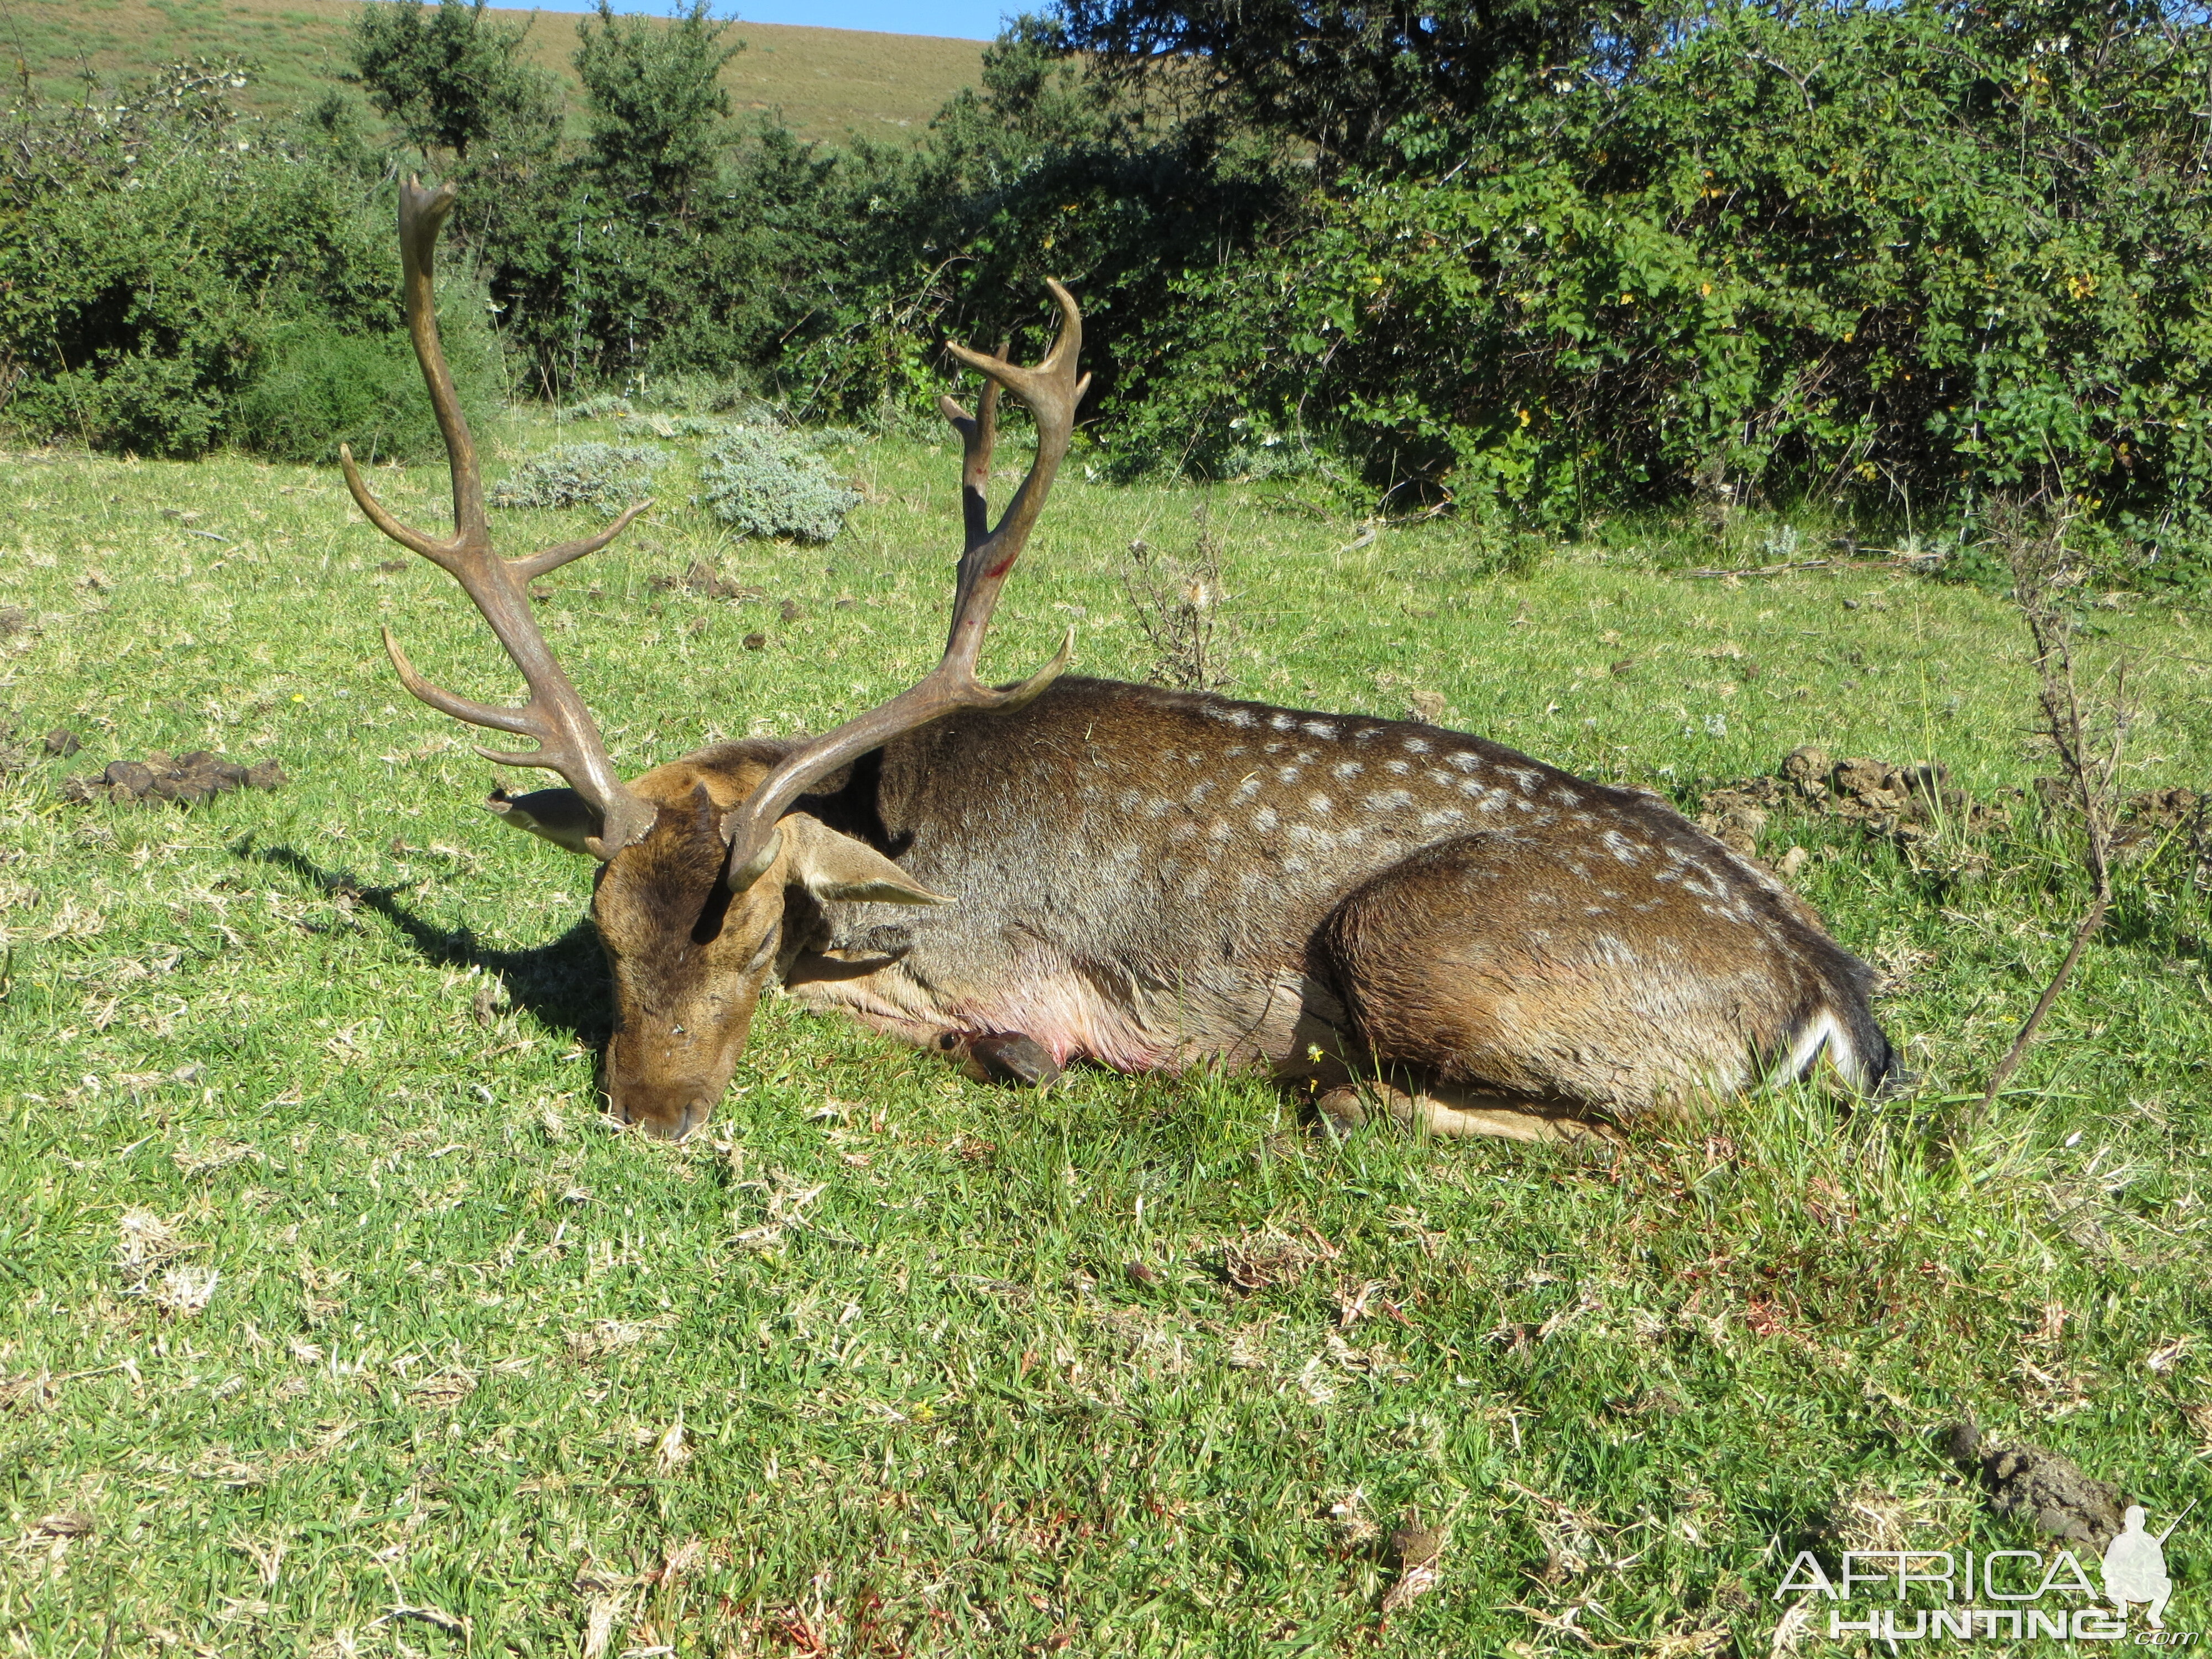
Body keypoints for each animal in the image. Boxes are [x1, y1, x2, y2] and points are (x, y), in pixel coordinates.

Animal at [349, 179, 1902, 1141]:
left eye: (743, 932)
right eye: (605, 929)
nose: (649, 1112)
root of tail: (1832, 999)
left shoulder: (992, 964)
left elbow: (949, 1021)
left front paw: (1022, 1051)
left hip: (1416, 945)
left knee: (1676, 1129)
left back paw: (1338, 1097)